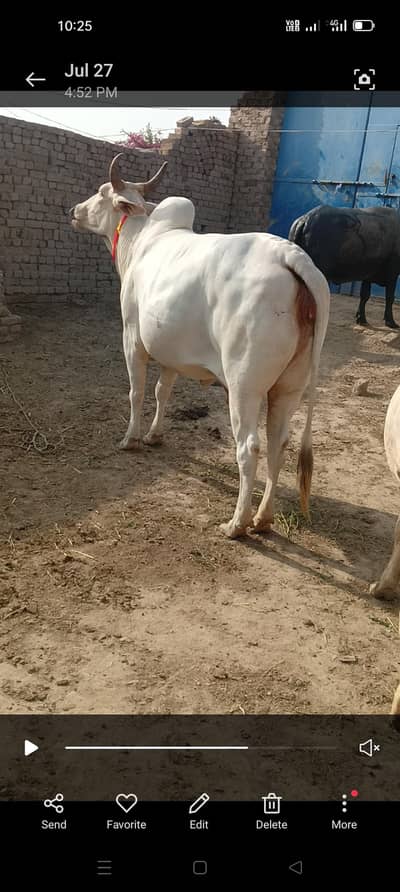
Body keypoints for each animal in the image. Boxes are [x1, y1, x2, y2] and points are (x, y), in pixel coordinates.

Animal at [70, 155, 330, 538]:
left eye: (103, 193)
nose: (74, 210)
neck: (140, 241)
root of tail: (291, 255)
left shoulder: (132, 338)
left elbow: (137, 391)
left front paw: (131, 438)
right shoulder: (170, 353)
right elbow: (163, 392)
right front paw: (154, 435)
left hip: (244, 386)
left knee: (249, 447)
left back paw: (237, 523)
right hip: (289, 386)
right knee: (278, 443)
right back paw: (263, 518)